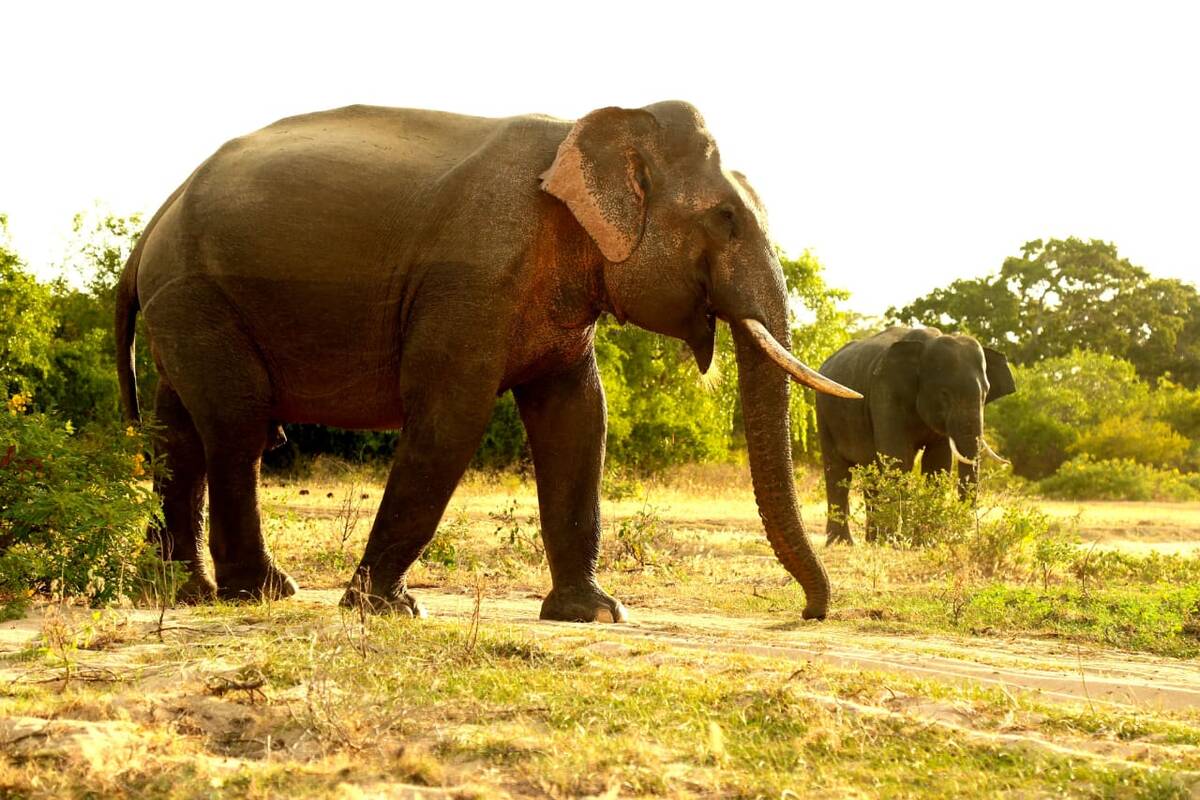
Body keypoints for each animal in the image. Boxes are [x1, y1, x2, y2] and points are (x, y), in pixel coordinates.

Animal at [114, 101, 861, 622]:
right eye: (726, 219)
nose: (808, 612)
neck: (588, 131)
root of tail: (153, 223)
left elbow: (577, 419)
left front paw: (594, 613)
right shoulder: (471, 280)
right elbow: (451, 418)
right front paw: (388, 609)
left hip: (185, 308)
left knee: (178, 434)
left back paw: (182, 592)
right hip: (198, 297)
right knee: (238, 431)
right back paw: (262, 592)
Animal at [815, 326, 1016, 545]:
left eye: (985, 394)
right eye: (945, 394)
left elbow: (938, 462)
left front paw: (924, 541)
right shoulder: (886, 393)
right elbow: (897, 458)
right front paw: (897, 541)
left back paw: (872, 541)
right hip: (824, 411)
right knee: (837, 471)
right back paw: (841, 542)